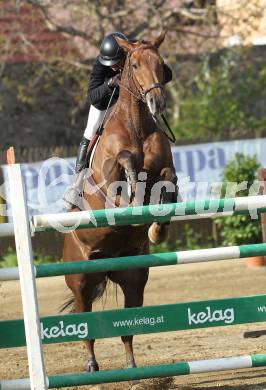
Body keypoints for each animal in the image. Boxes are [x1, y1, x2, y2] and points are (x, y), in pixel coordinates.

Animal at [63, 32, 178, 372]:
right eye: (135, 64)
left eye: (161, 64)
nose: (157, 103)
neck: (137, 124)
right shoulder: (105, 176)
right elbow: (124, 161)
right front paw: (130, 190)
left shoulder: (164, 169)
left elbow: (169, 179)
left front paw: (157, 229)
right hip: (80, 282)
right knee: (85, 326)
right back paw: (91, 365)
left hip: (134, 278)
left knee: (128, 326)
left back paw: (131, 365)